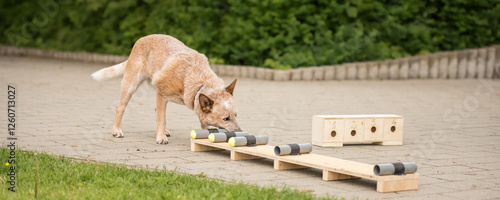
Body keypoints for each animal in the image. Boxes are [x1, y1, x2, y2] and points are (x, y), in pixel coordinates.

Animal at [94, 34, 244, 144]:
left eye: (236, 115)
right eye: (226, 118)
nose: (240, 131)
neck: (197, 80)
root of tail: (142, 39)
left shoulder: (195, 99)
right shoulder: (161, 95)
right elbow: (162, 118)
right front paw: (161, 137)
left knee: (156, 111)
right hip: (131, 85)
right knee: (120, 107)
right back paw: (117, 130)